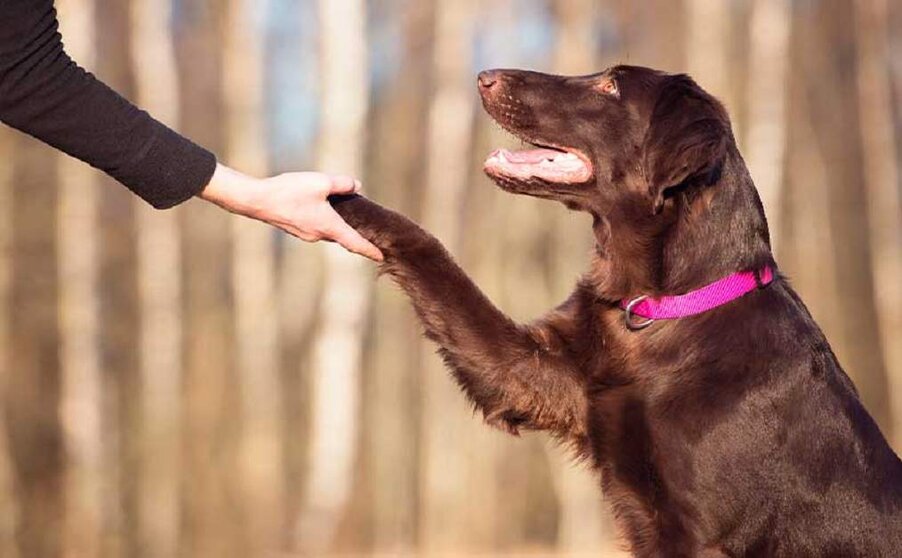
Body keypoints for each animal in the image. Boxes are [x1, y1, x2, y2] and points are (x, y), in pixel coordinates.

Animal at [330, 64, 902, 556]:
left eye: (610, 87)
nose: (484, 76)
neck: (661, 308)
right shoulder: (533, 374)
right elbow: (431, 254)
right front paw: (336, 198)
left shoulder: (704, 534)